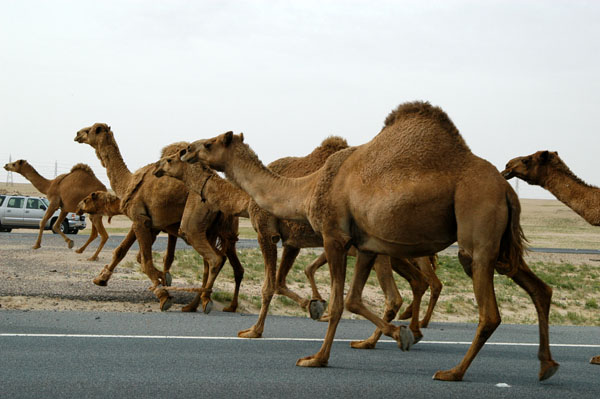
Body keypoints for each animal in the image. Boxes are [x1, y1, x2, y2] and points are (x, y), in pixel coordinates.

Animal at [74, 125, 244, 312]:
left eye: (90, 130)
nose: (77, 134)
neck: (128, 183)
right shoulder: (151, 224)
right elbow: (125, 252)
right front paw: (101, 279)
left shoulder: (141, 220)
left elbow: (145, 260)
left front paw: (163, 293)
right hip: (213, 230)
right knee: (218, 263)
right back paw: (197, 304)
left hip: (195, 224)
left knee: (215, 259)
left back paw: (206, 302)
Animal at [159, 137, 428, 346]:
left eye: (171, 158)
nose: (157, 168)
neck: (247, 198)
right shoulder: (292, 241)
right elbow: (279, 282)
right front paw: (313, 306)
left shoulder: (266, 233)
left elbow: (268, 286)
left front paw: (254, 331)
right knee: (413, 285)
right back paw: (401, 334)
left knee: (395, 295)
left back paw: (376, 340)